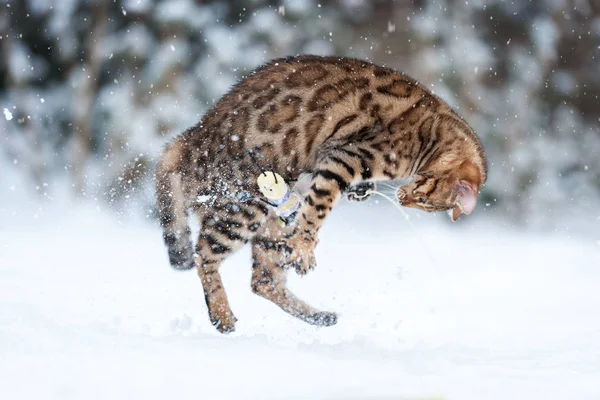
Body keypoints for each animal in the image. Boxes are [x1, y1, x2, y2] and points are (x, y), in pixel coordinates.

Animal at [156, 54, 488, 332]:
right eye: (423, 200)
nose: (402, 199)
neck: (436, 130)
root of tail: (188, 138)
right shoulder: (344, 159)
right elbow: (319, 206)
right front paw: (306, 247)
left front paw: (362, 191)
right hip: (243, 207)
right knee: (204, 255)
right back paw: (222, 315)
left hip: (271, 223)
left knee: (263, 280)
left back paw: (320, 316)